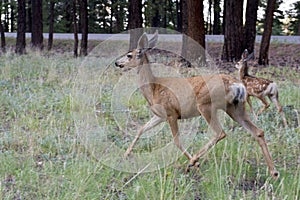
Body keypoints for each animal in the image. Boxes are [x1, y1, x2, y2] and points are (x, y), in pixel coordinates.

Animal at [115, 32, 278, 178]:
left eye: (129, 55)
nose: (117, 63)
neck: (154, 89)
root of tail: (238, 85)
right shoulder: (160, 116)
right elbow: (141, 129)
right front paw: (125, 154)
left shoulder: (171, 113)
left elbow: (176, 141)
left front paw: (195, 163)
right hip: (236, 108)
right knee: (258, 132)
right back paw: (274, 172)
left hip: (206, 104)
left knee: (220, 133)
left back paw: (193, 161)